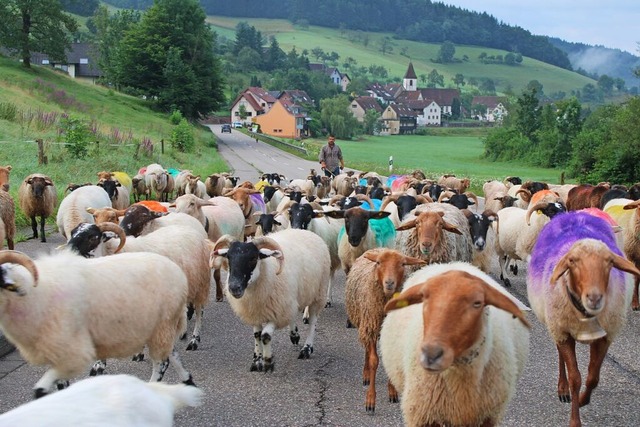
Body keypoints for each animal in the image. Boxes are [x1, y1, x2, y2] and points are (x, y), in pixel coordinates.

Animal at [0, 249, 195, 400]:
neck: (33, 295)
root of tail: (178, 272)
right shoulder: (58, 352)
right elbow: (60, 385)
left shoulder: (73, 352)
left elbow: (40, 390)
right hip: (160, 327)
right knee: (172, 354)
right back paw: (188, 381)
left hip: (163, 325)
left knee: (162, 362)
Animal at [209, 229, 330, 372]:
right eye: (228, 257)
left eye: (253, 258)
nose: (234, 287)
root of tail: (305, 231)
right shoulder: (256, 312)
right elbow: (257, 335)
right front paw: (257, 361)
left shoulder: (277, 313)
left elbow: (265, 335)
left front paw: (268, 361)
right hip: (290, 300)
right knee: (292, 314)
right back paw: (294, 335)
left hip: (318, 293)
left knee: (312, 322)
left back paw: (307, 349)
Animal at [342, 249, 428, 412]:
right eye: (378, 263)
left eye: (402, 264)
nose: (389, 283)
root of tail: (377, 249)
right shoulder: (370, 325)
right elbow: (373, 361)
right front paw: (370, 400)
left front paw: (392, 392)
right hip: (366, 323)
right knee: (367, 350)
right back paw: (366, 374)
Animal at [380, 260, 528, 427]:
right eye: (424, 298)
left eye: (477, 303)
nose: (431, 355)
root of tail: (451, 263)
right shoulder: (424, 416)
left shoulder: (488, 417)